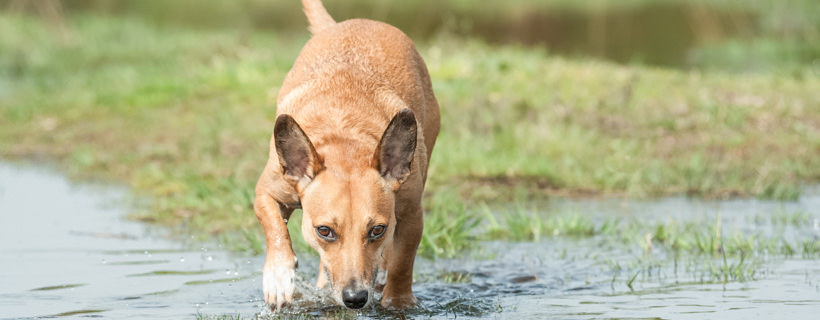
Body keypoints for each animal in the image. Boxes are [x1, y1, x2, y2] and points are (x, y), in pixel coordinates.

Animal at [253, 0, 438, 310]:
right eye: (324, 231)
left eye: (377, 230)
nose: (355, 298)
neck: (344, 143)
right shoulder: (267, 193)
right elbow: (275, 228)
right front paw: (279, 278)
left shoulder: (411, 214)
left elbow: (402, 262)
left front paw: (398, 302)